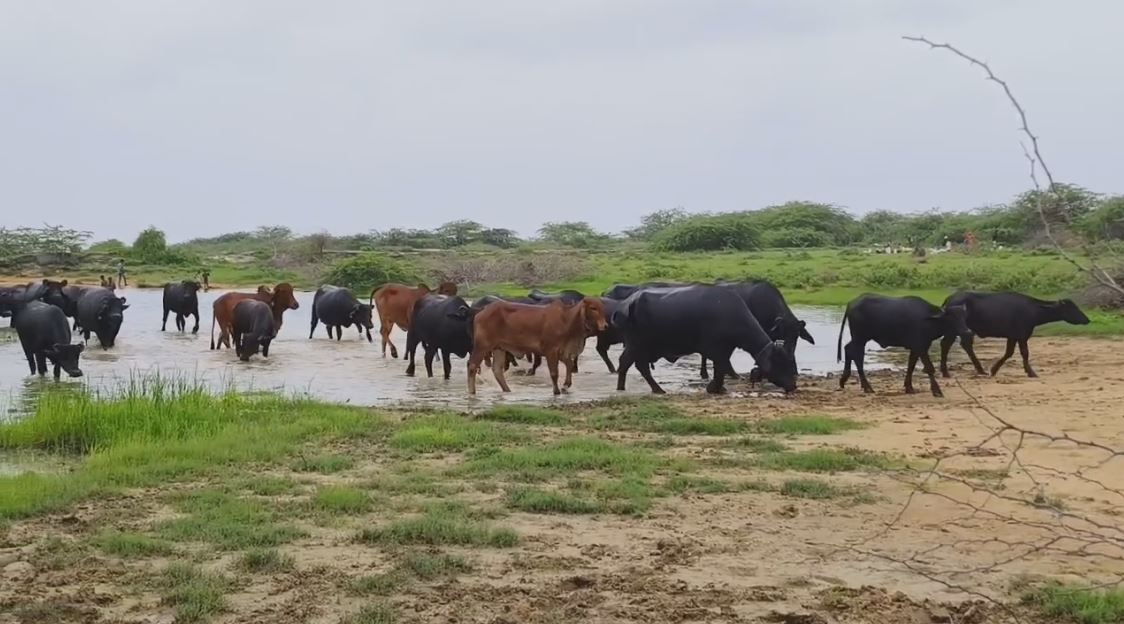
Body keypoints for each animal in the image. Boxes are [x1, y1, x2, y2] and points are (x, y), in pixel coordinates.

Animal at [465, 296, 606, 395]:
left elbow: (570, 365)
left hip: (499, 348)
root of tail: (480, 313)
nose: (605, 325)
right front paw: (556, 391)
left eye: (601, 307)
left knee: (497, 370)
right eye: (593, 308)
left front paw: (566, 385)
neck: (566, 320)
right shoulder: (551, 351)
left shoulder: (563, 352)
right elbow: (554, 372)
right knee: (472, 366)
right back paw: (472, 392)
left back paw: (507, 390)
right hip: (482, 346)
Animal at [611, 284, 795, 393]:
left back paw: (625, 387)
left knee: (629, 364)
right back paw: (655, 389)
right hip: (637, 345)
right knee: (634, 364)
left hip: (637, 346)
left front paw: (718, 387)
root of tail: (626, 304)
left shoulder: (725, 349)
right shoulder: (716, 350)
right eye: (781, 362)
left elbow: (721, 367)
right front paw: (715, 387)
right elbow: (721, 368)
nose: (793, 385)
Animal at [840, 294, 971, 398]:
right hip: (860, 338)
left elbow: (911, 366)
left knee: (848, 349)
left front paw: (909, 387)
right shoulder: (920, 347)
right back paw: (867, 387)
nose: (967, 331)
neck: (927, 319)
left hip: (859, 339)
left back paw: (844, 380)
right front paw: (936, 391)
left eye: (964, 317)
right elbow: (929, 368)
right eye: (952, 317)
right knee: (857, 356)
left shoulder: (916, 348)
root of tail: (851, 303)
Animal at [939, 292, 1088, 377]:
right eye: (1071, 308)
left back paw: (979, 370)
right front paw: (1031, 372)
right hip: (954, 330)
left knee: (963, 345)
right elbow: (1024, 353)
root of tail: (950, 299)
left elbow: (1009, 353)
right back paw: (946, 372)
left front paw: (994, 370)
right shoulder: (1022, 336)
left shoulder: (1013, 336)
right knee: (946, 344)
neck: (1033, 311)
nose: (1087, 319)